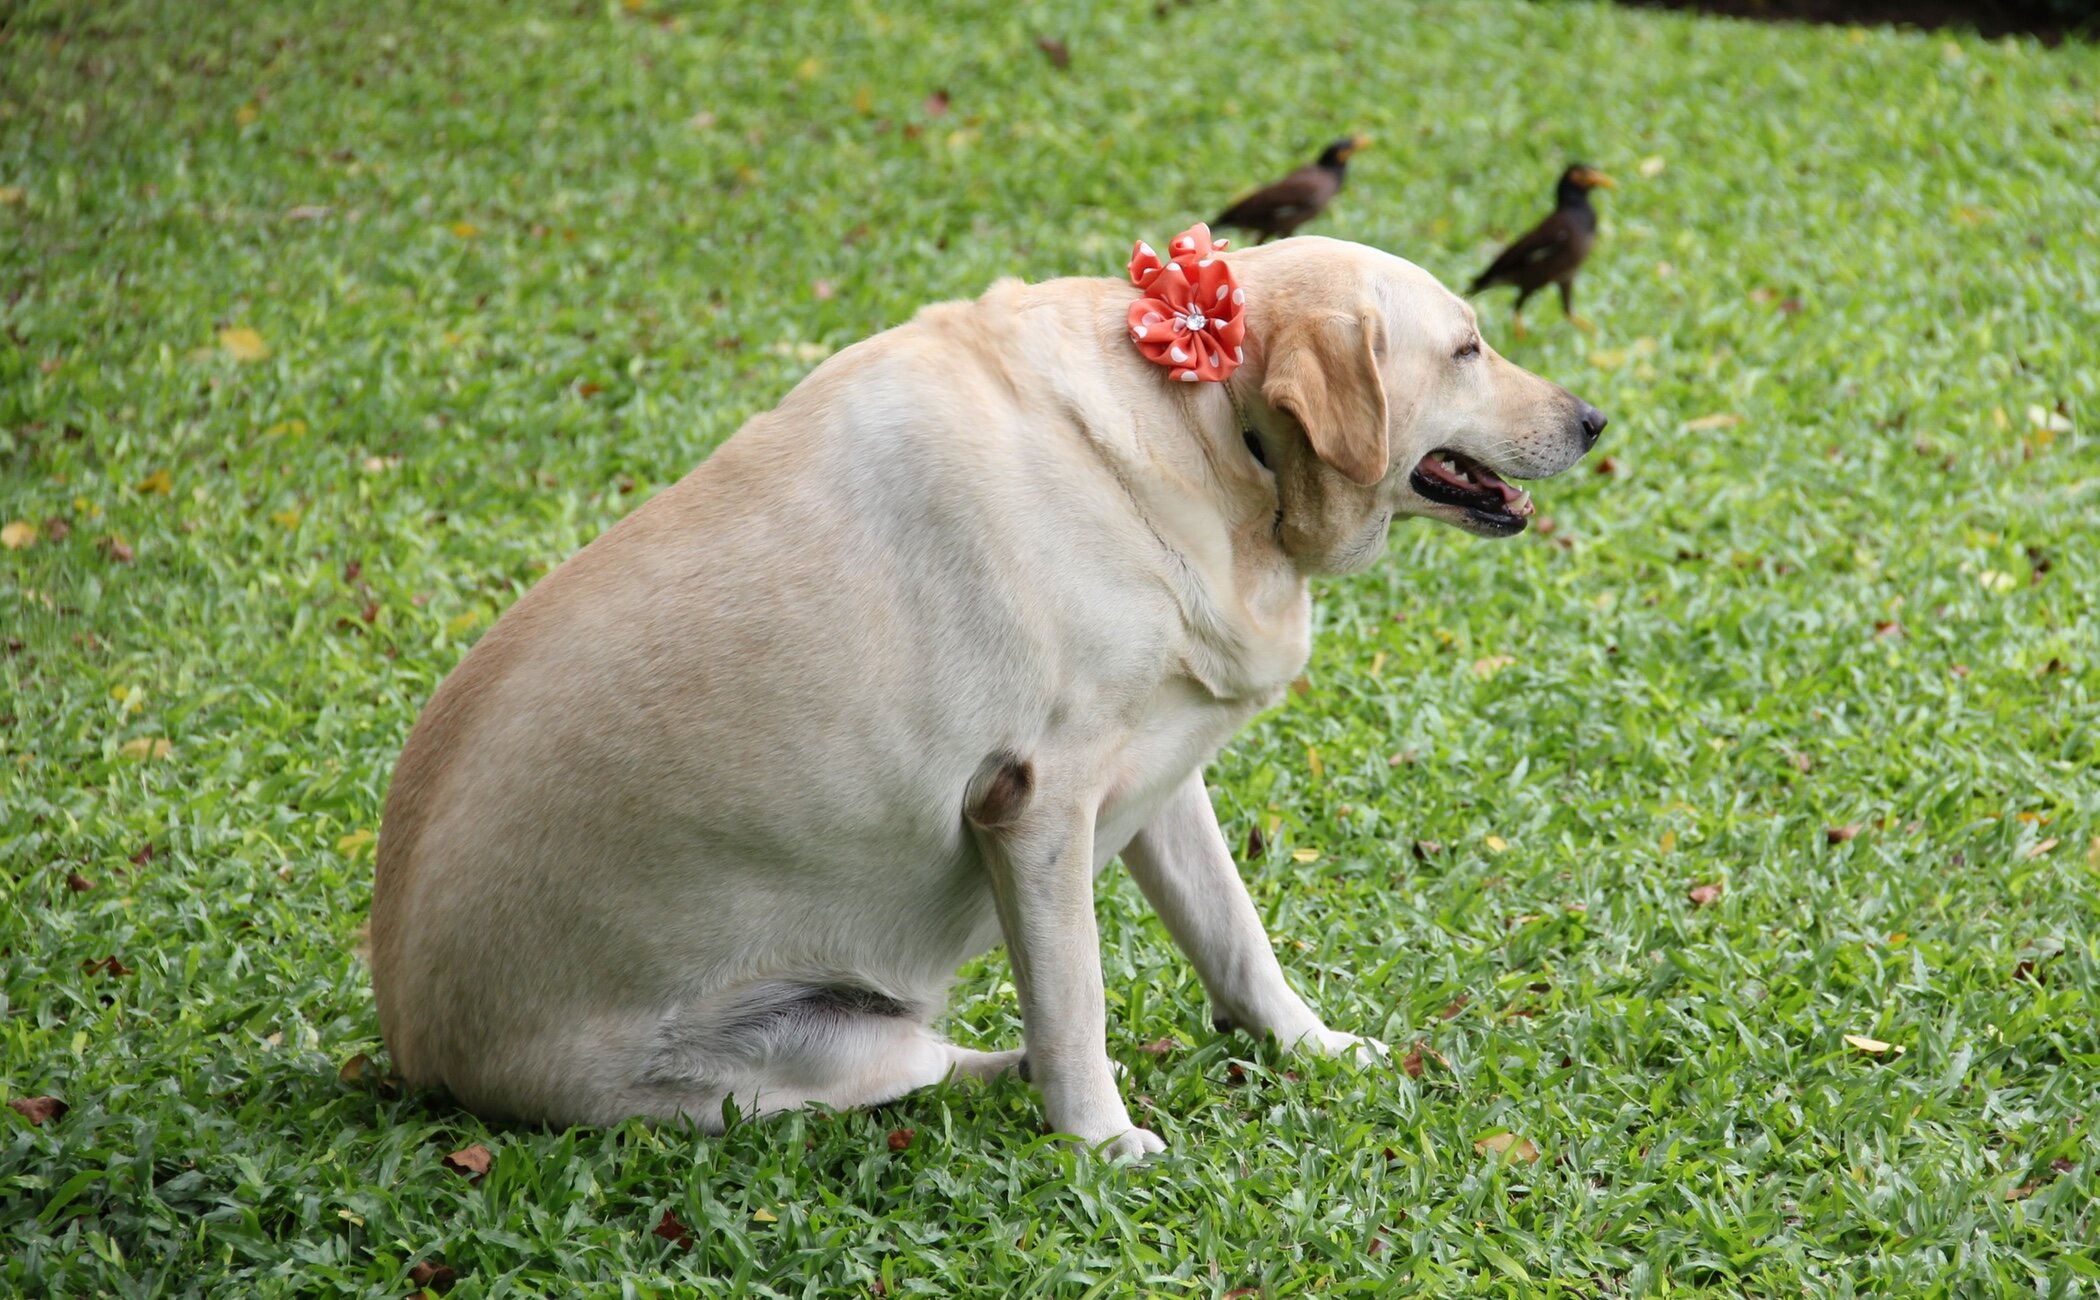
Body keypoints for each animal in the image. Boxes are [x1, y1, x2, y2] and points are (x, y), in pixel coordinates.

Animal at [365, 234, 1604, 1159]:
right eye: (1468, 347)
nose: (1595, 420)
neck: (1210, 429)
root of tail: (416, 1052)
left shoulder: (1163, 778)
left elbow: (1236, 937)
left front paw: (1309, 1046)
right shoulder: (1036, 809)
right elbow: (1076, 998)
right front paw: (1101, 1143)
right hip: (798, 1055)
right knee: (926, 1074)